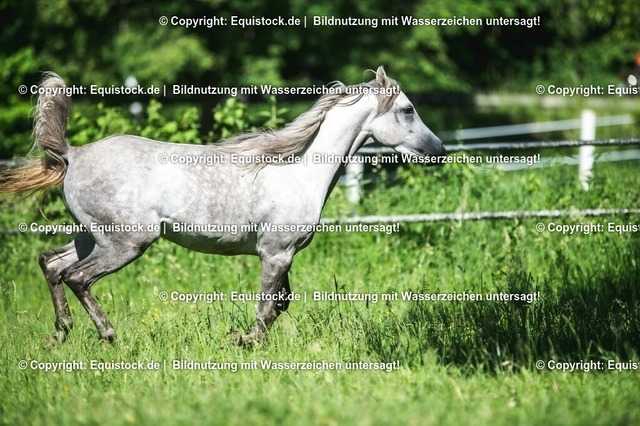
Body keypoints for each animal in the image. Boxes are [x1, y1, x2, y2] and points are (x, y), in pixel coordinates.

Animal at [0, 67, 446, 344]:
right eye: (408, 109)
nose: (440, 151)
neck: (298, 170)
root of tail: (72, 155)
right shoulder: (276, 254)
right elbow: (266, 307)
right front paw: (245, 341)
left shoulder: (282, 254)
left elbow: (280, 303)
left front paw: (243, 339)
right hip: (124, 243)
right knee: (77, 277)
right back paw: (108, 335)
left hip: (90, 237)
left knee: (51, 264)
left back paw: (60, 333)